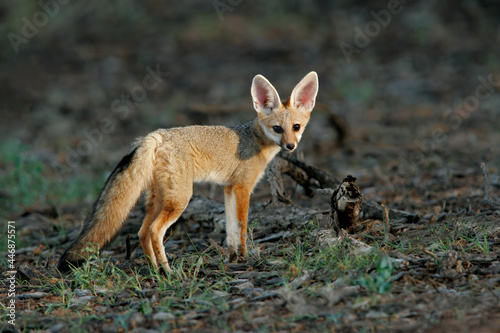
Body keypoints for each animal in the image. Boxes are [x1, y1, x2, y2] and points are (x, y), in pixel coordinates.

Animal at [56, 71, 318, 272]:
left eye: (296, 127)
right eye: (277, 129)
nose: (290, 146)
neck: (254, 139)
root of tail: (156, 135)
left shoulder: (228, 189)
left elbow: (230, 228)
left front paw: (232, 257)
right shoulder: (243, 187)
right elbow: (242, 227)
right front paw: (244, 257)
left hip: (160, 199)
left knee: (142, 232)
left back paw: (155, 270)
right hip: (180, 199)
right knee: (154, 231)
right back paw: (168, 271)